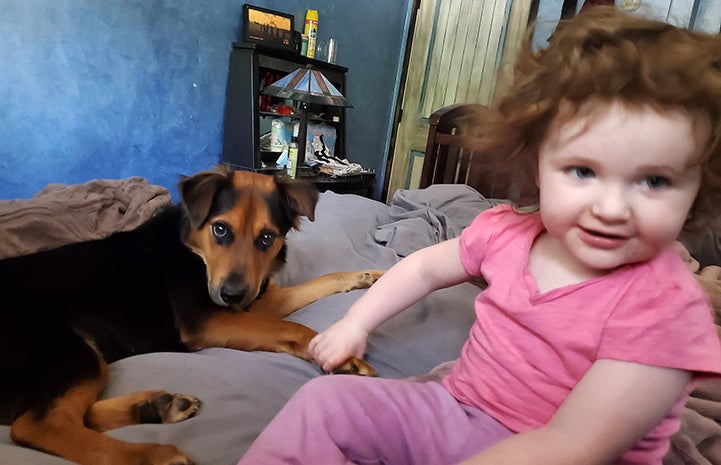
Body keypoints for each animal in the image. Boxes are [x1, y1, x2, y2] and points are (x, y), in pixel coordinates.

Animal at [0, 166, 382, 464]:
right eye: (220, 229)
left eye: (266, 238)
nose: (231, 295)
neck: (194, 250)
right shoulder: (208, 320)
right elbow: (291, 327)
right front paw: (341, 355)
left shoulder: (254, 300)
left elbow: (322, 281)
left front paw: (369, 277)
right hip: (69, 350)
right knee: (37, 424)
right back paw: (153, 455)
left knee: (58, 413)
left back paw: (157, 406)